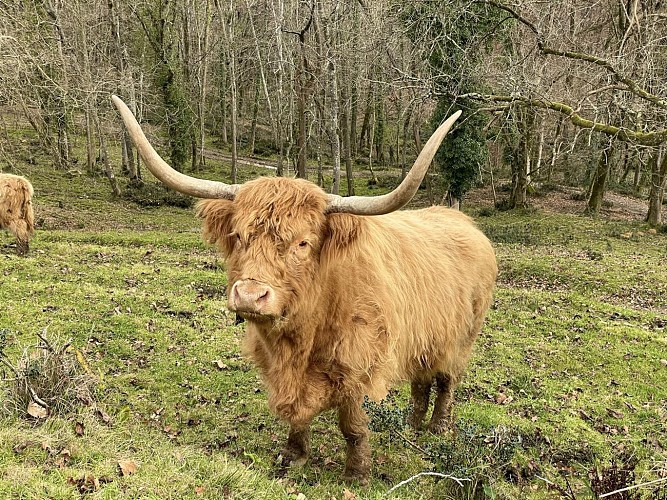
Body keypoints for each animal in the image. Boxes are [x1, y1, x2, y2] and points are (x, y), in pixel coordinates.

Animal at [112, 95, 497, 485]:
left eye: (303, 243)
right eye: (238, 236)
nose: (249, 295)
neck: (305, 330)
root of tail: (463, 222)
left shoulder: (358, 365)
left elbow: (353, 425)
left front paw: (357, 473)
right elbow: (296, 413)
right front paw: (293, 455)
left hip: (461, 339)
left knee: (446, 381)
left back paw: (437, 429)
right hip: (425, 338)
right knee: (422, 380)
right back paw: (413, 425)